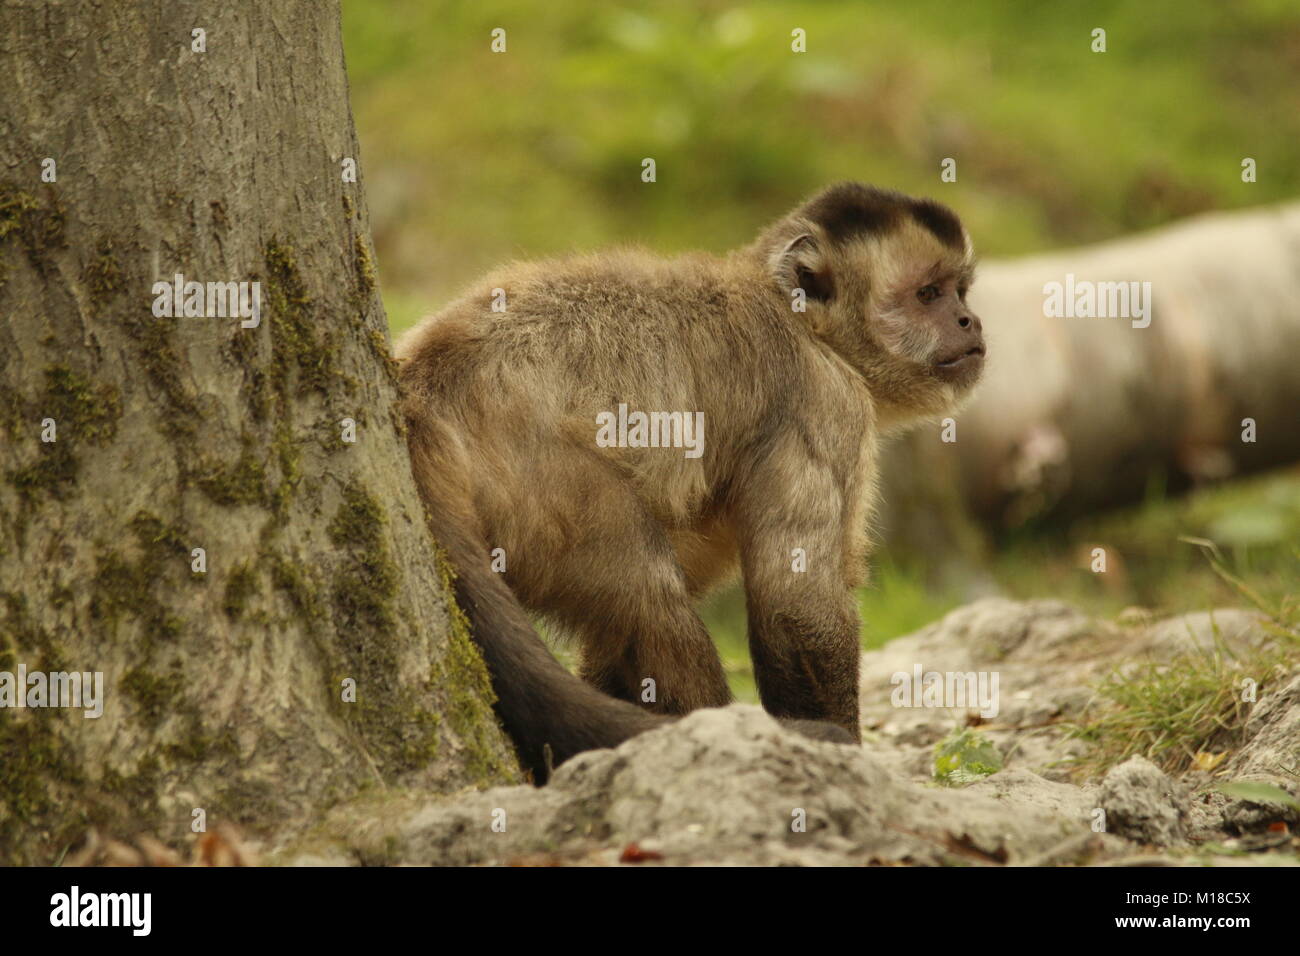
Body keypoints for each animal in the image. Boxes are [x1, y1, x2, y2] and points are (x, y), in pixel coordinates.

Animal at [396, 182, 985, 782]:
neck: (804, 324)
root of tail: (425, 386)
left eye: (960, 292)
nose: (969, 320)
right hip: (543, 481)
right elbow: (794, 601)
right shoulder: (824, 399)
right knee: (649, 597)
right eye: (928, 294)